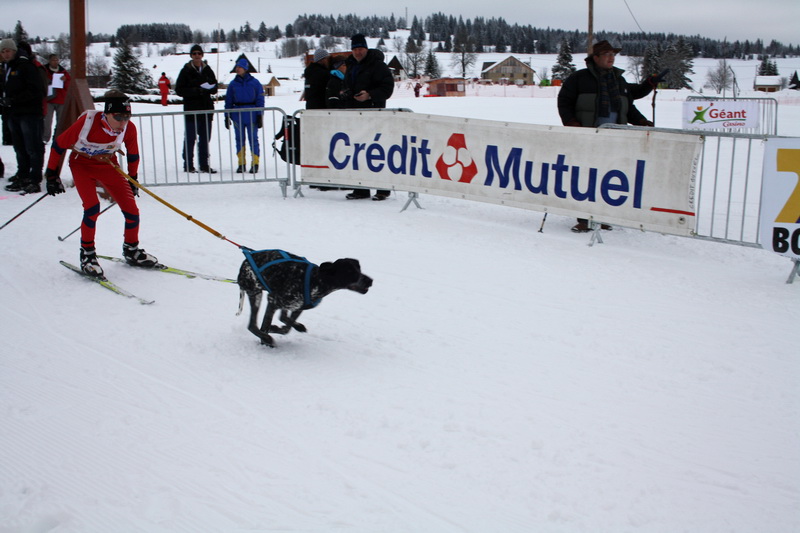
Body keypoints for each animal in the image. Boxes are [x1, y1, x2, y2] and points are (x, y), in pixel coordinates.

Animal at [236, 248, 374, 348]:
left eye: (359, 268)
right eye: (350, 272)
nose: (370, 280)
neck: (317, 280)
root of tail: (245, 261)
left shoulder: (298, 307)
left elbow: (286, 327)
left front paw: (276, 328)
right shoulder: (273, 301)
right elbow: (266, 325)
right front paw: (265, 340)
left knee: (282, 317)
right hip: (256, 293)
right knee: (252, 325)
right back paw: (266, 337)